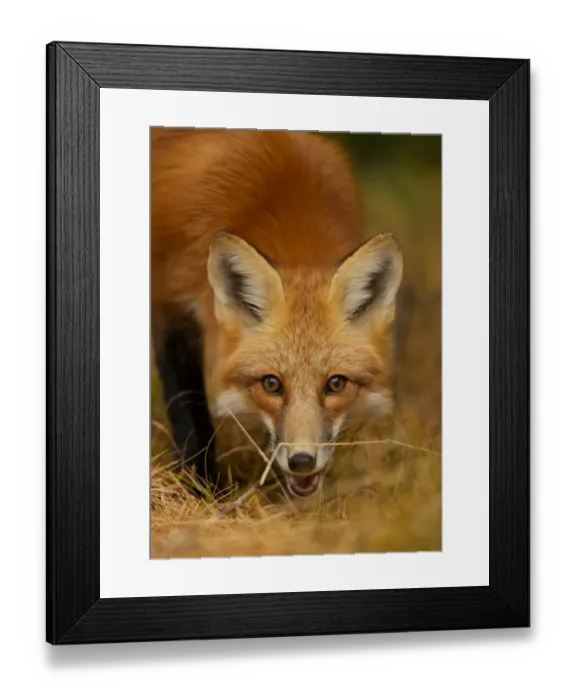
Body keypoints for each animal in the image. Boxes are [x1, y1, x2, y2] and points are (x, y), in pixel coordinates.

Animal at [151, 128, 403, 499]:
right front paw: (203, 489)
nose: (302, 462)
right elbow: (189, 411)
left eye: (336, 383)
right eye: (272, 384)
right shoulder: (169, 305)